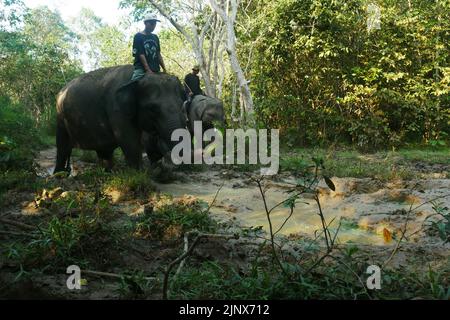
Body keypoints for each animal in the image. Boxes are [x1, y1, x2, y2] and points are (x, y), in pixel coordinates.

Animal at [53, 65, 187, 174]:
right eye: (153, 108)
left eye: (182, 105)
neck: (137, 78)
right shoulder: (116, 108)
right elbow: (128, 139)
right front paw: (138, 174)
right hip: (60, 116)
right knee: (62, 146)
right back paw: (59, 174)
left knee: (103, 150)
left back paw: (107, 172)